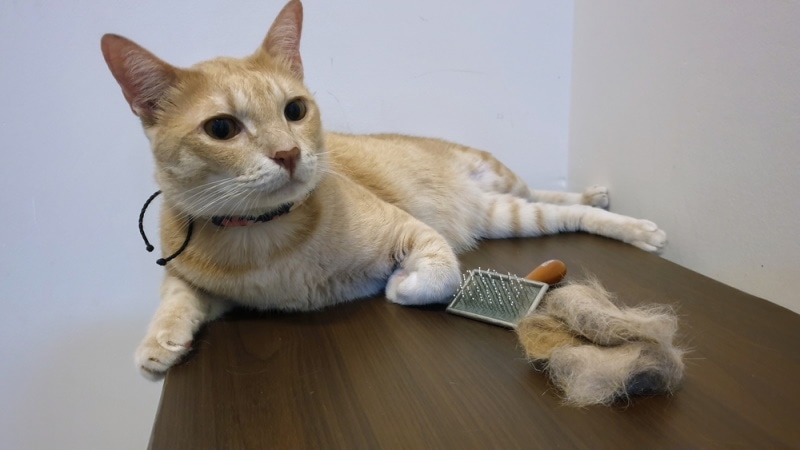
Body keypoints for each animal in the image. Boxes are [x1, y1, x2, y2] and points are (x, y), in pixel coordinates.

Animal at [98, 0, 664, 380]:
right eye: (221, 128)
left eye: (294, 110)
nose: (288, 153)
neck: (267, 240)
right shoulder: (197, 280)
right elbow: (176, 295)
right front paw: (158, 343)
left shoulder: (417, 231)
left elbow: (438, 273)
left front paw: (400, 285)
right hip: (507, 214)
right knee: (553, 207)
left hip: (503, 189)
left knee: (561, 202)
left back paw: (633, 223)